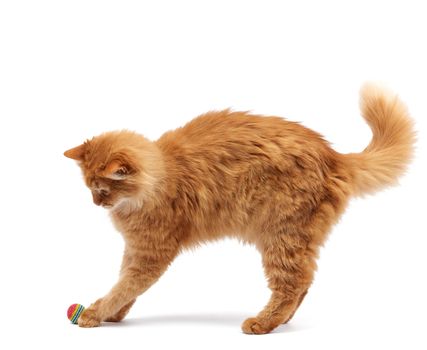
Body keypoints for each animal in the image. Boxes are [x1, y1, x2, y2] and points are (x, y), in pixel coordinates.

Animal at [65, 84, 416, 334]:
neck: (163, 174)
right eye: (89, 187)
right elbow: (124, 283)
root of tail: (334, 157)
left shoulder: (151, 252)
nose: (96, 203)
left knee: (292, 284)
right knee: (305, 282)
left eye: (102, 189)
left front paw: (96, 312)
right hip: (293, 240)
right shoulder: (136, 248)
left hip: (281, 237)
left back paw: (264, 323)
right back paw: (282, 320)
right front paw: (115, 313)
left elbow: (124, 285)